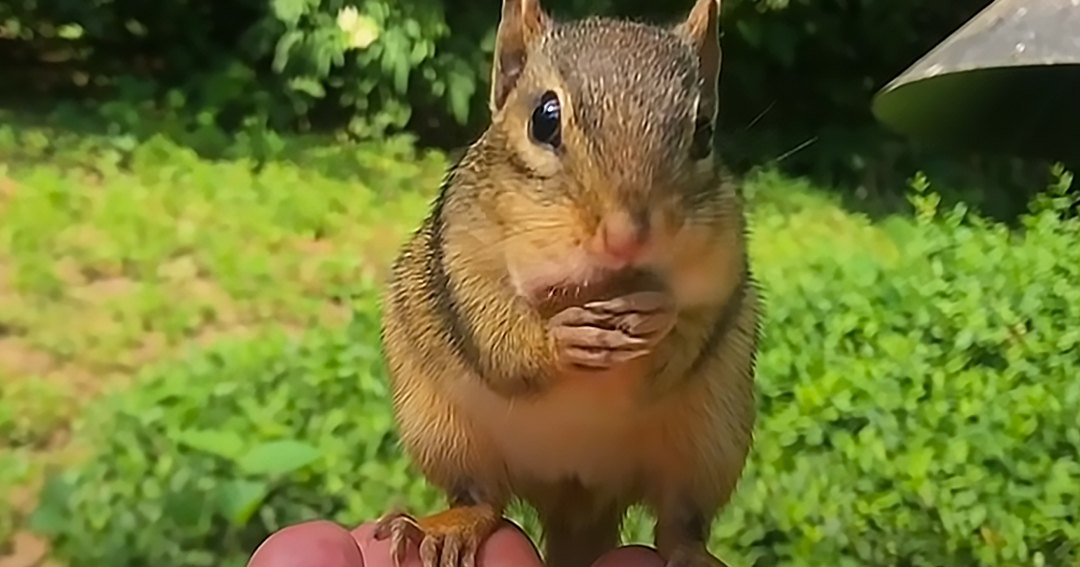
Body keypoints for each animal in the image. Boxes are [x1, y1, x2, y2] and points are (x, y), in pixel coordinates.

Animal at [375, 0, 761, 566]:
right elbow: (494, 327)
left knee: (679, 523)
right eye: (544, 119)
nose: (626, 238)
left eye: (705, 131)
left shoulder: (725, 264)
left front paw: (659, 320)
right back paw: (447, 528)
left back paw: (692, 554)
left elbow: (699, 320)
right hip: (445, 431)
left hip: (709, 445)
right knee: (481, 498)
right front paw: (561, 337)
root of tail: (577, 499)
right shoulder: (461, 257)